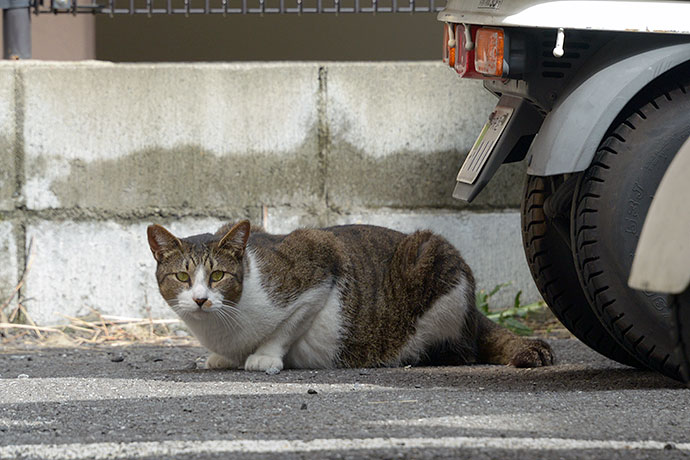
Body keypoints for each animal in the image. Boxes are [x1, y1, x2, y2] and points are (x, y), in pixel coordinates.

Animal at [146, 221, 552, 372]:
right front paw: (220, 358)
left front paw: (264, 357)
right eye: (183, 276)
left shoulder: (323, 259)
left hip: (432, 255)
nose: (200, 300)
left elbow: (286, 327)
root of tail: (475, 314)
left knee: (463, 349)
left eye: (218, 275)